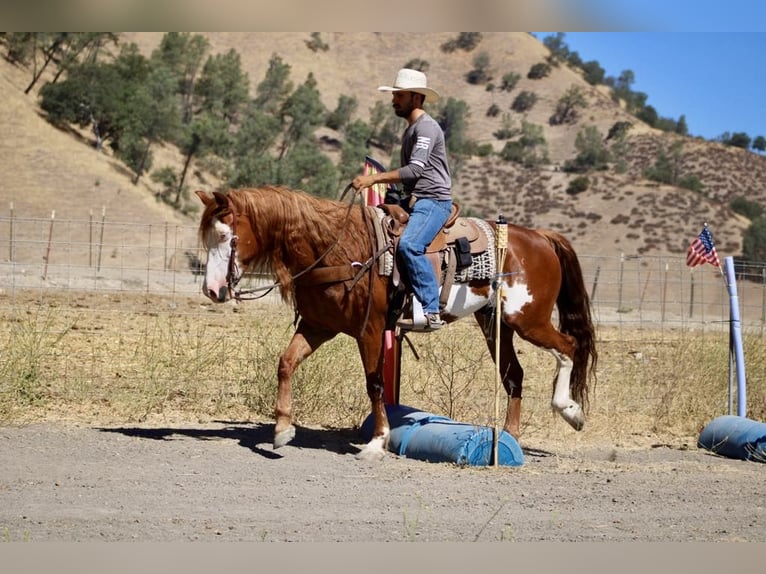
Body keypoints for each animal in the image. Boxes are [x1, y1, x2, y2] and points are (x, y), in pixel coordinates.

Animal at [195, 185, 597, 460]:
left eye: (226, 236)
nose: (212, 290)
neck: (337, 247)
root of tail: (541, 238)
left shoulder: (370, 330)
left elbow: (374, 384)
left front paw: (376, 441)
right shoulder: (318, 325)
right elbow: (286, 362)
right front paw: (281, 428)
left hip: (528, 319)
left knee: (568, 347)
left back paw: (570, 410)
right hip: (496, 325)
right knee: (514, 375)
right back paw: (509, 440)